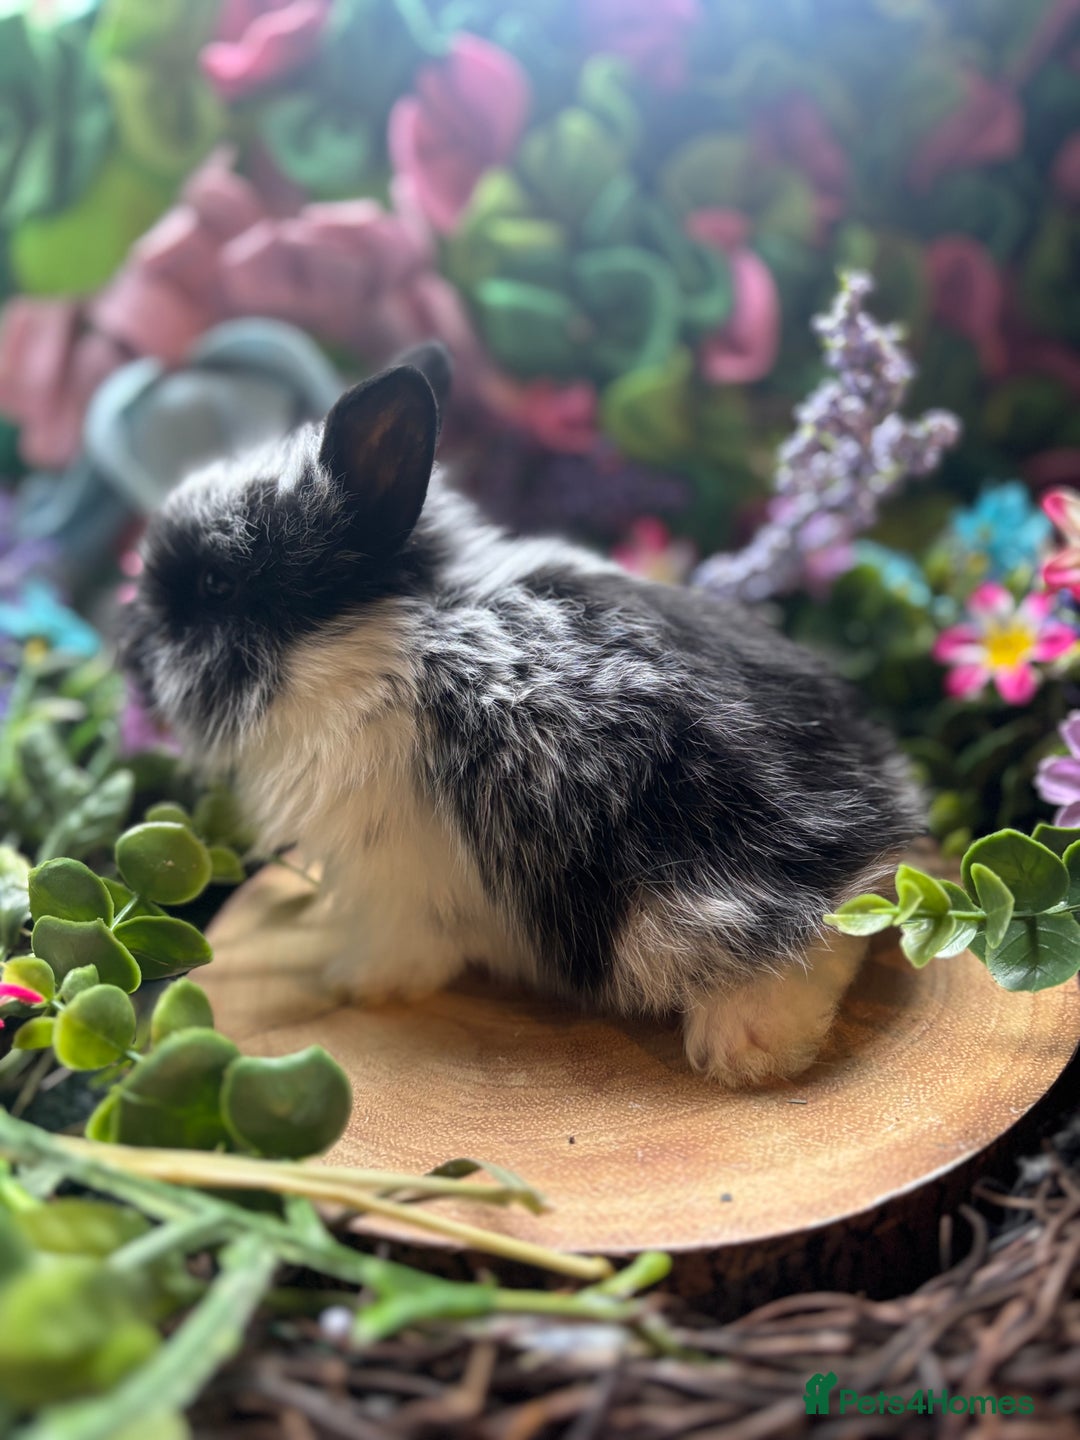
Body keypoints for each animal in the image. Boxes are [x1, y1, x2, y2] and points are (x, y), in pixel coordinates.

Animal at [121, 343, 923, 1088]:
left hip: (668, 908)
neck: (367, 639)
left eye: (217, 584)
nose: (129, 653)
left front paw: (356, 982)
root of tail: (867, 839)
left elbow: (402, 947)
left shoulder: (393, 877)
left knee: (804, 952)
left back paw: (746, 1051)